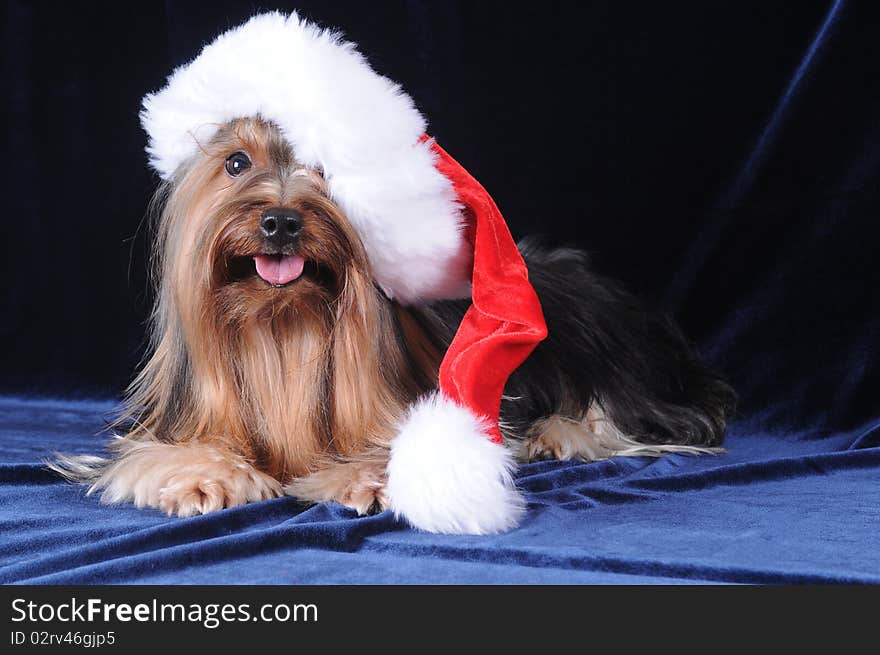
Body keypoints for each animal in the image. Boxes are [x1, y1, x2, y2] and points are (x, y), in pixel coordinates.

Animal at [55, 116, 736, 528]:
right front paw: (207, 478)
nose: (280, 221)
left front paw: (371, 478)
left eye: (326, 167)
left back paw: (560, 434)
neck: (284, 328)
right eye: (236, 162)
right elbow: (157, 456)